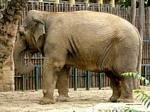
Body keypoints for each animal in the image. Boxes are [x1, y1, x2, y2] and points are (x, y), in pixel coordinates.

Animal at [13, 10, 142, 104]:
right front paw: (63, 100)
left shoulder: (56, 39)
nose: (31, 63)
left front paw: (44, 102)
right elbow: (63, 69)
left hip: (125, 48)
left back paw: (124, 101)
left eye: (21, 34)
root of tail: (136, 30)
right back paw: (113, 100)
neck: (46, 14)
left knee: (123, 73)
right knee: (112, 74)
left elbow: (54, 65)